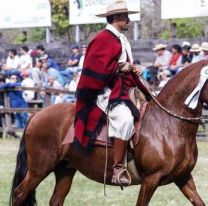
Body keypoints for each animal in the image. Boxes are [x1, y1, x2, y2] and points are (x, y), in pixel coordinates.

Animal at [10, 60, 208, 206]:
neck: (167, 124)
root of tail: (36, 115)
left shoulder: (183, 178)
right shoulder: (151, 180)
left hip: (65, 169)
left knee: (56, 200)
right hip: (39, 169)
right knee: (19, 194)